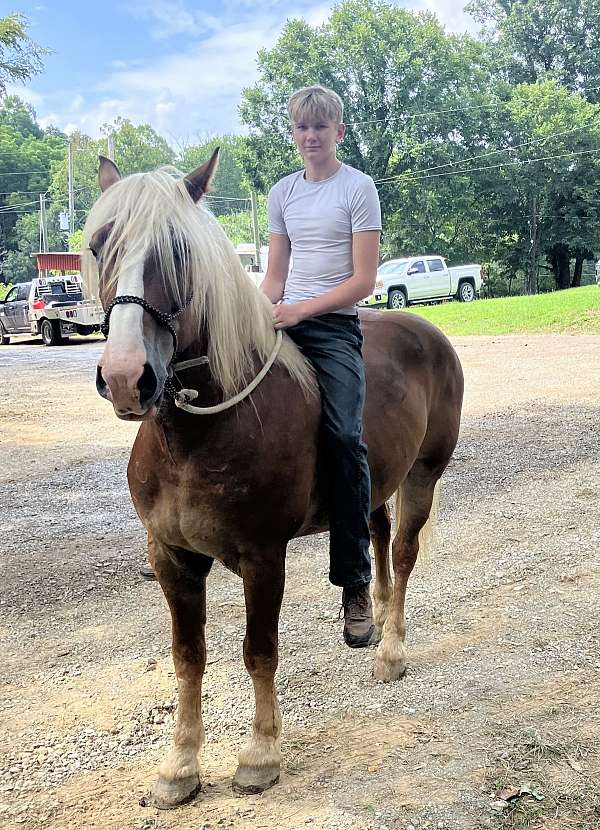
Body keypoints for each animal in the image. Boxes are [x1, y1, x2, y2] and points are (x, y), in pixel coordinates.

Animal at [81, 151, 464, 812]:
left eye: (179, 252)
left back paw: (391, 649)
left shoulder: (264, 557)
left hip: (423, 475)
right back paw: (370, 617)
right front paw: (179, 767)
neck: (199, 435)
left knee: (404, 552)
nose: (128, 377)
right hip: (375, 480)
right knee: (375, 538)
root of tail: (427, 330)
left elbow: (258, 651)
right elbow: (188, 657)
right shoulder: (171, 557)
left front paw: (260, 756)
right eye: (101, 244)